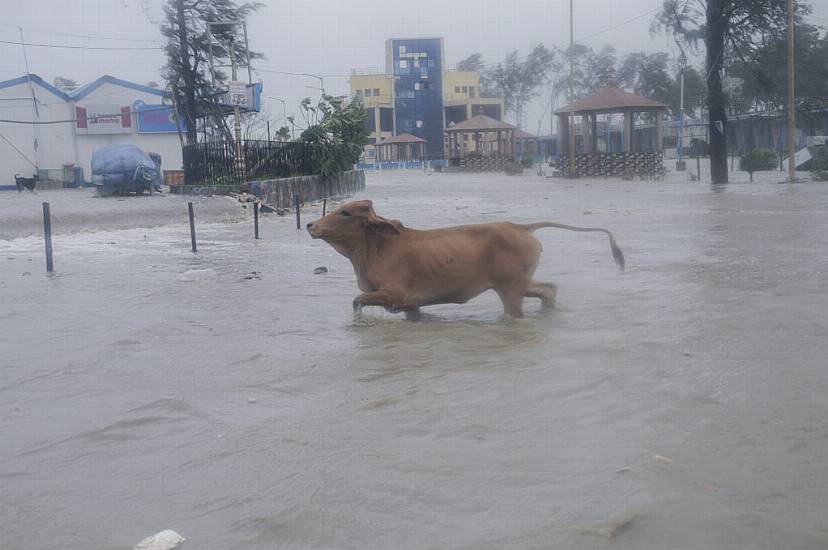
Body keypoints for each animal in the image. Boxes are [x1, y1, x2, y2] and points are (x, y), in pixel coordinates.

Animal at [308, 199, 624, 320]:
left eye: (345, 213)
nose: (311, 225)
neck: (376, 247)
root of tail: (521, 227)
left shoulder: (394, 294)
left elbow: (356, 301)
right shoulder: (411, 305)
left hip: (510, 290)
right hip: (518, 284)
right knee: (548, 289)